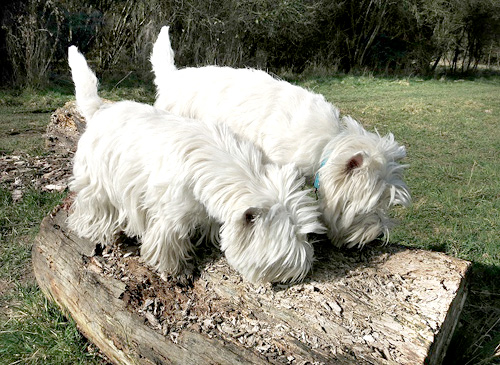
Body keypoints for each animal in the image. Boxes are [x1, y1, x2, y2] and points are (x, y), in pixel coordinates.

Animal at [66, 45, 324, 282]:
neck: (208, 170)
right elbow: (168, 245)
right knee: (92, 209)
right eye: (285, 255)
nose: (308, 266)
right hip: (97, 183)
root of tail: (100, 110)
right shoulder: (169, 217)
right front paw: (176, 270)